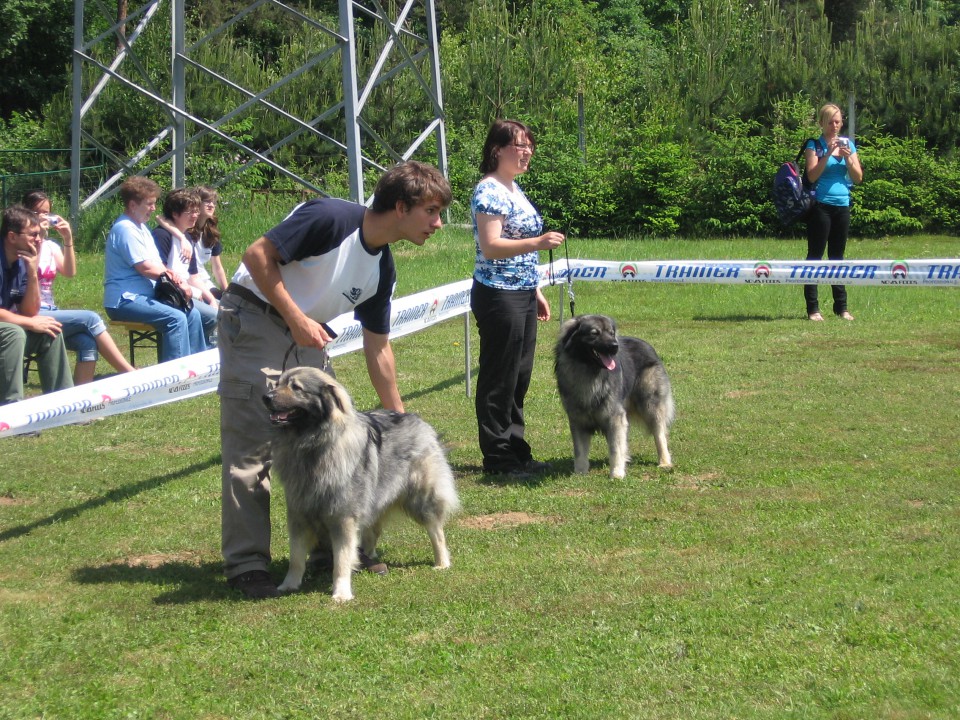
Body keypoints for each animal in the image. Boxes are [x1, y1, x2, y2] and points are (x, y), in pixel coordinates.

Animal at [260, 368, 460, 600]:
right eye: (277, 384)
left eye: (296, 387)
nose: (266, 397)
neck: (313, 443)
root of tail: (418, 421)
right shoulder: (299, 515)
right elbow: (296, 557)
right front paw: (289, 584)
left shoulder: (342, 518)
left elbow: (342, 559)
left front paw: (341, 592)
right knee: (372, 532)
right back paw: (369, 556)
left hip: (421, 498)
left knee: (436, 530)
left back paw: (442, 562)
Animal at [556, 316, 676, 478]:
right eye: (594, 333)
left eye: (611, 333)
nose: (615, 346)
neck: (590, 372)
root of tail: (648, 347)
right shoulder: (578, 419)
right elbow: (580, 450)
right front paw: (580, 473)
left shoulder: (614, 417)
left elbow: (615, 448)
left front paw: (617, 473)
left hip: (650, 405)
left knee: (659, 433)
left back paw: (664, 462)